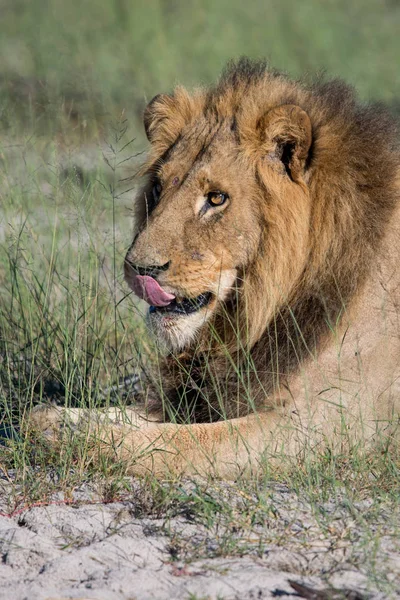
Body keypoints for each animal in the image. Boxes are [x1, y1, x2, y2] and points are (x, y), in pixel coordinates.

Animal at [30, 57, 400, 478]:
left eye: (216, 198)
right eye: (158, 188)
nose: (138, 269)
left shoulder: (324, 423)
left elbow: (180, 441)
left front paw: (79, 439)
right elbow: (125, 413)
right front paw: (50, 419)